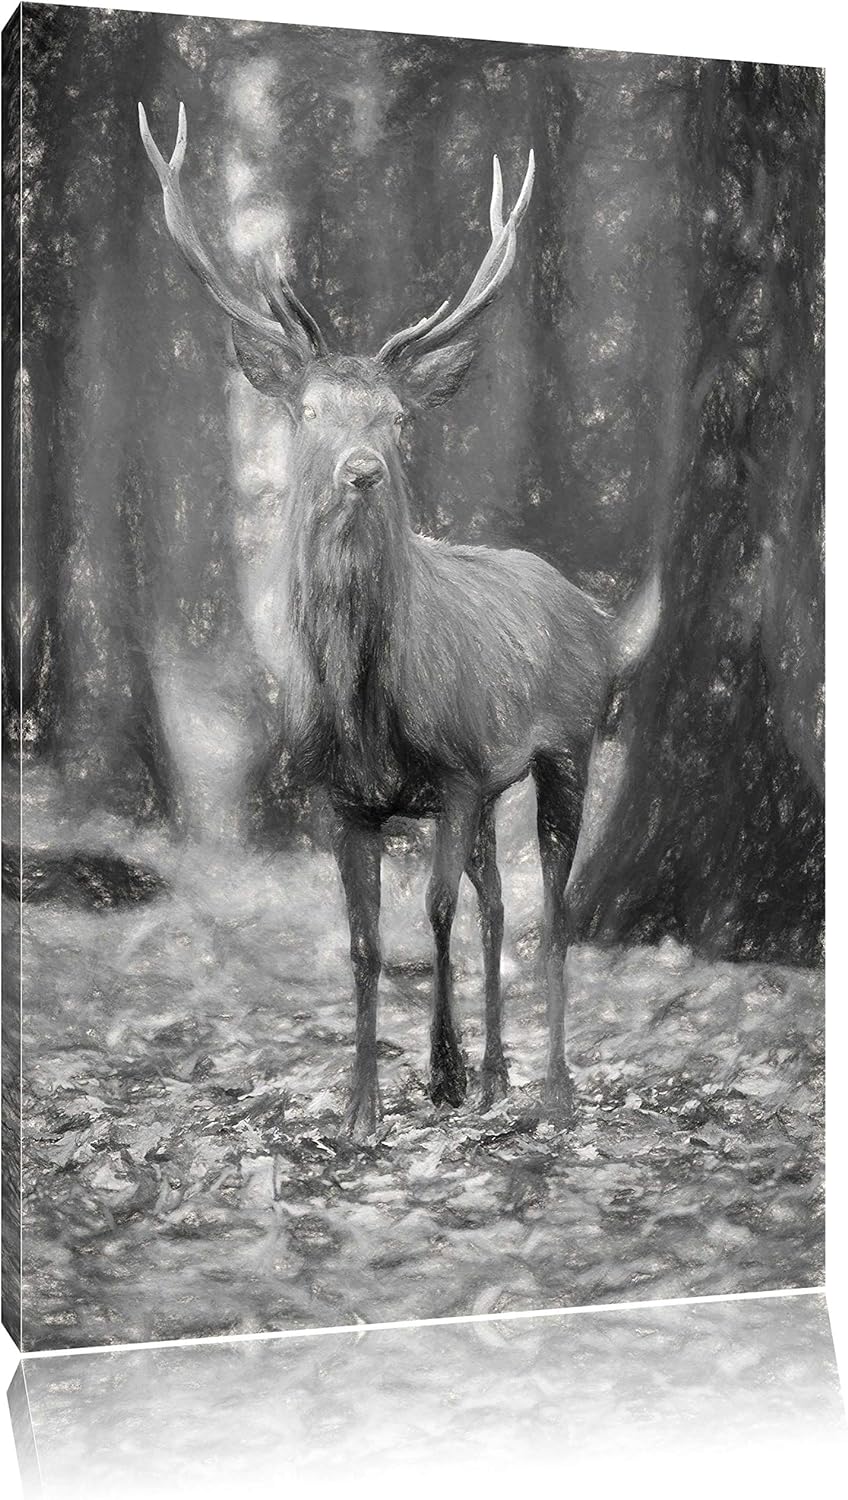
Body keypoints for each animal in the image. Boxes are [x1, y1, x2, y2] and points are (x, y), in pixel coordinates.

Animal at [139, 103, 653, 1137]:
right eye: (305, 412)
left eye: (399, 417)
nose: (362, 469)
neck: (368, 710)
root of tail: (591, 608)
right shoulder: (345, 801)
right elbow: (366, 944)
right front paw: (361, 1109)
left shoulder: (452, 776)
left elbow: (436, 917)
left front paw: (440, 1076)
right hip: (498, 785)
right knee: (501, 906)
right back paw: (501, 1078)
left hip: (570, 745)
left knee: (553, 914)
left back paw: (549, 1089)